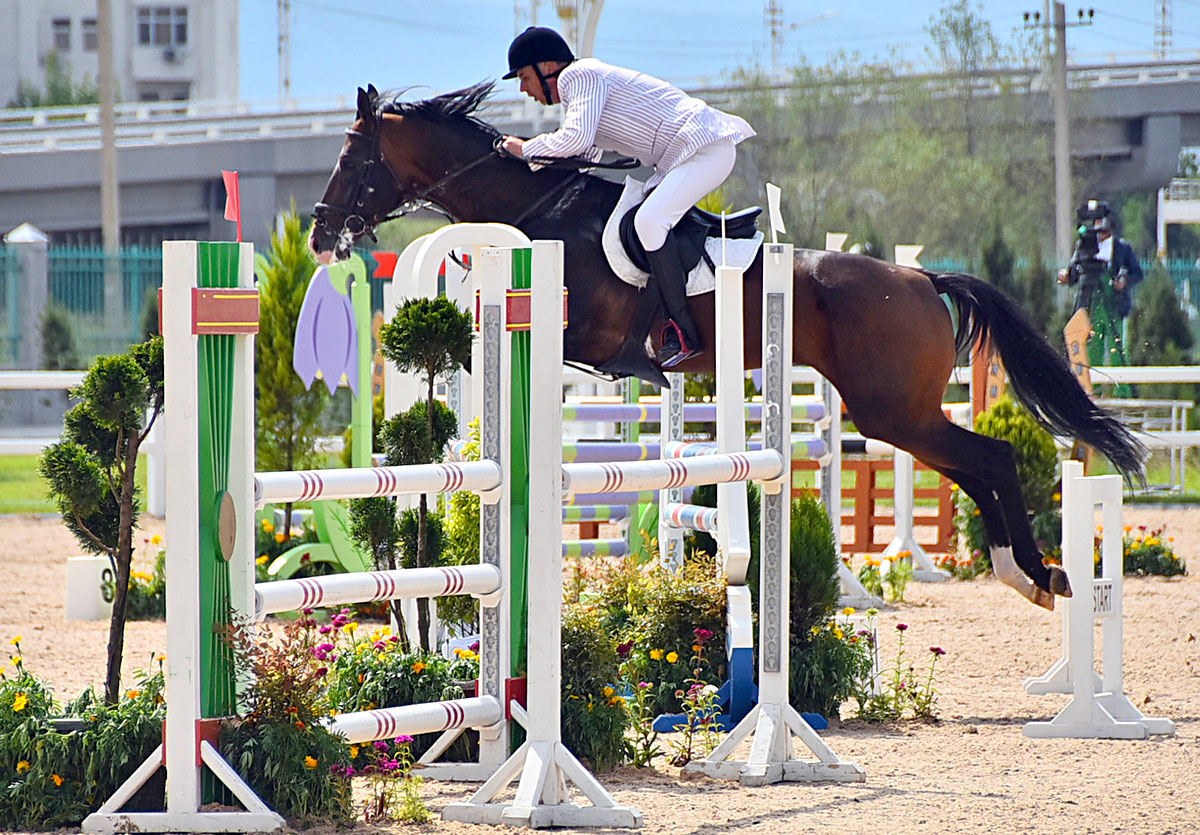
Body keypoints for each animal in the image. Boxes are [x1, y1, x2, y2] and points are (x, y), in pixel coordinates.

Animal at [307, 81, 1142, 609]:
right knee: (973, 466)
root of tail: (917, 275)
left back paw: (1037, 574)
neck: (543, 208)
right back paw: (1025, 573)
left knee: (990, 459)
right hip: (896, 413)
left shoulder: (585, 335)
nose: (318, 235)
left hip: (891, 410)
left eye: (351, 161)